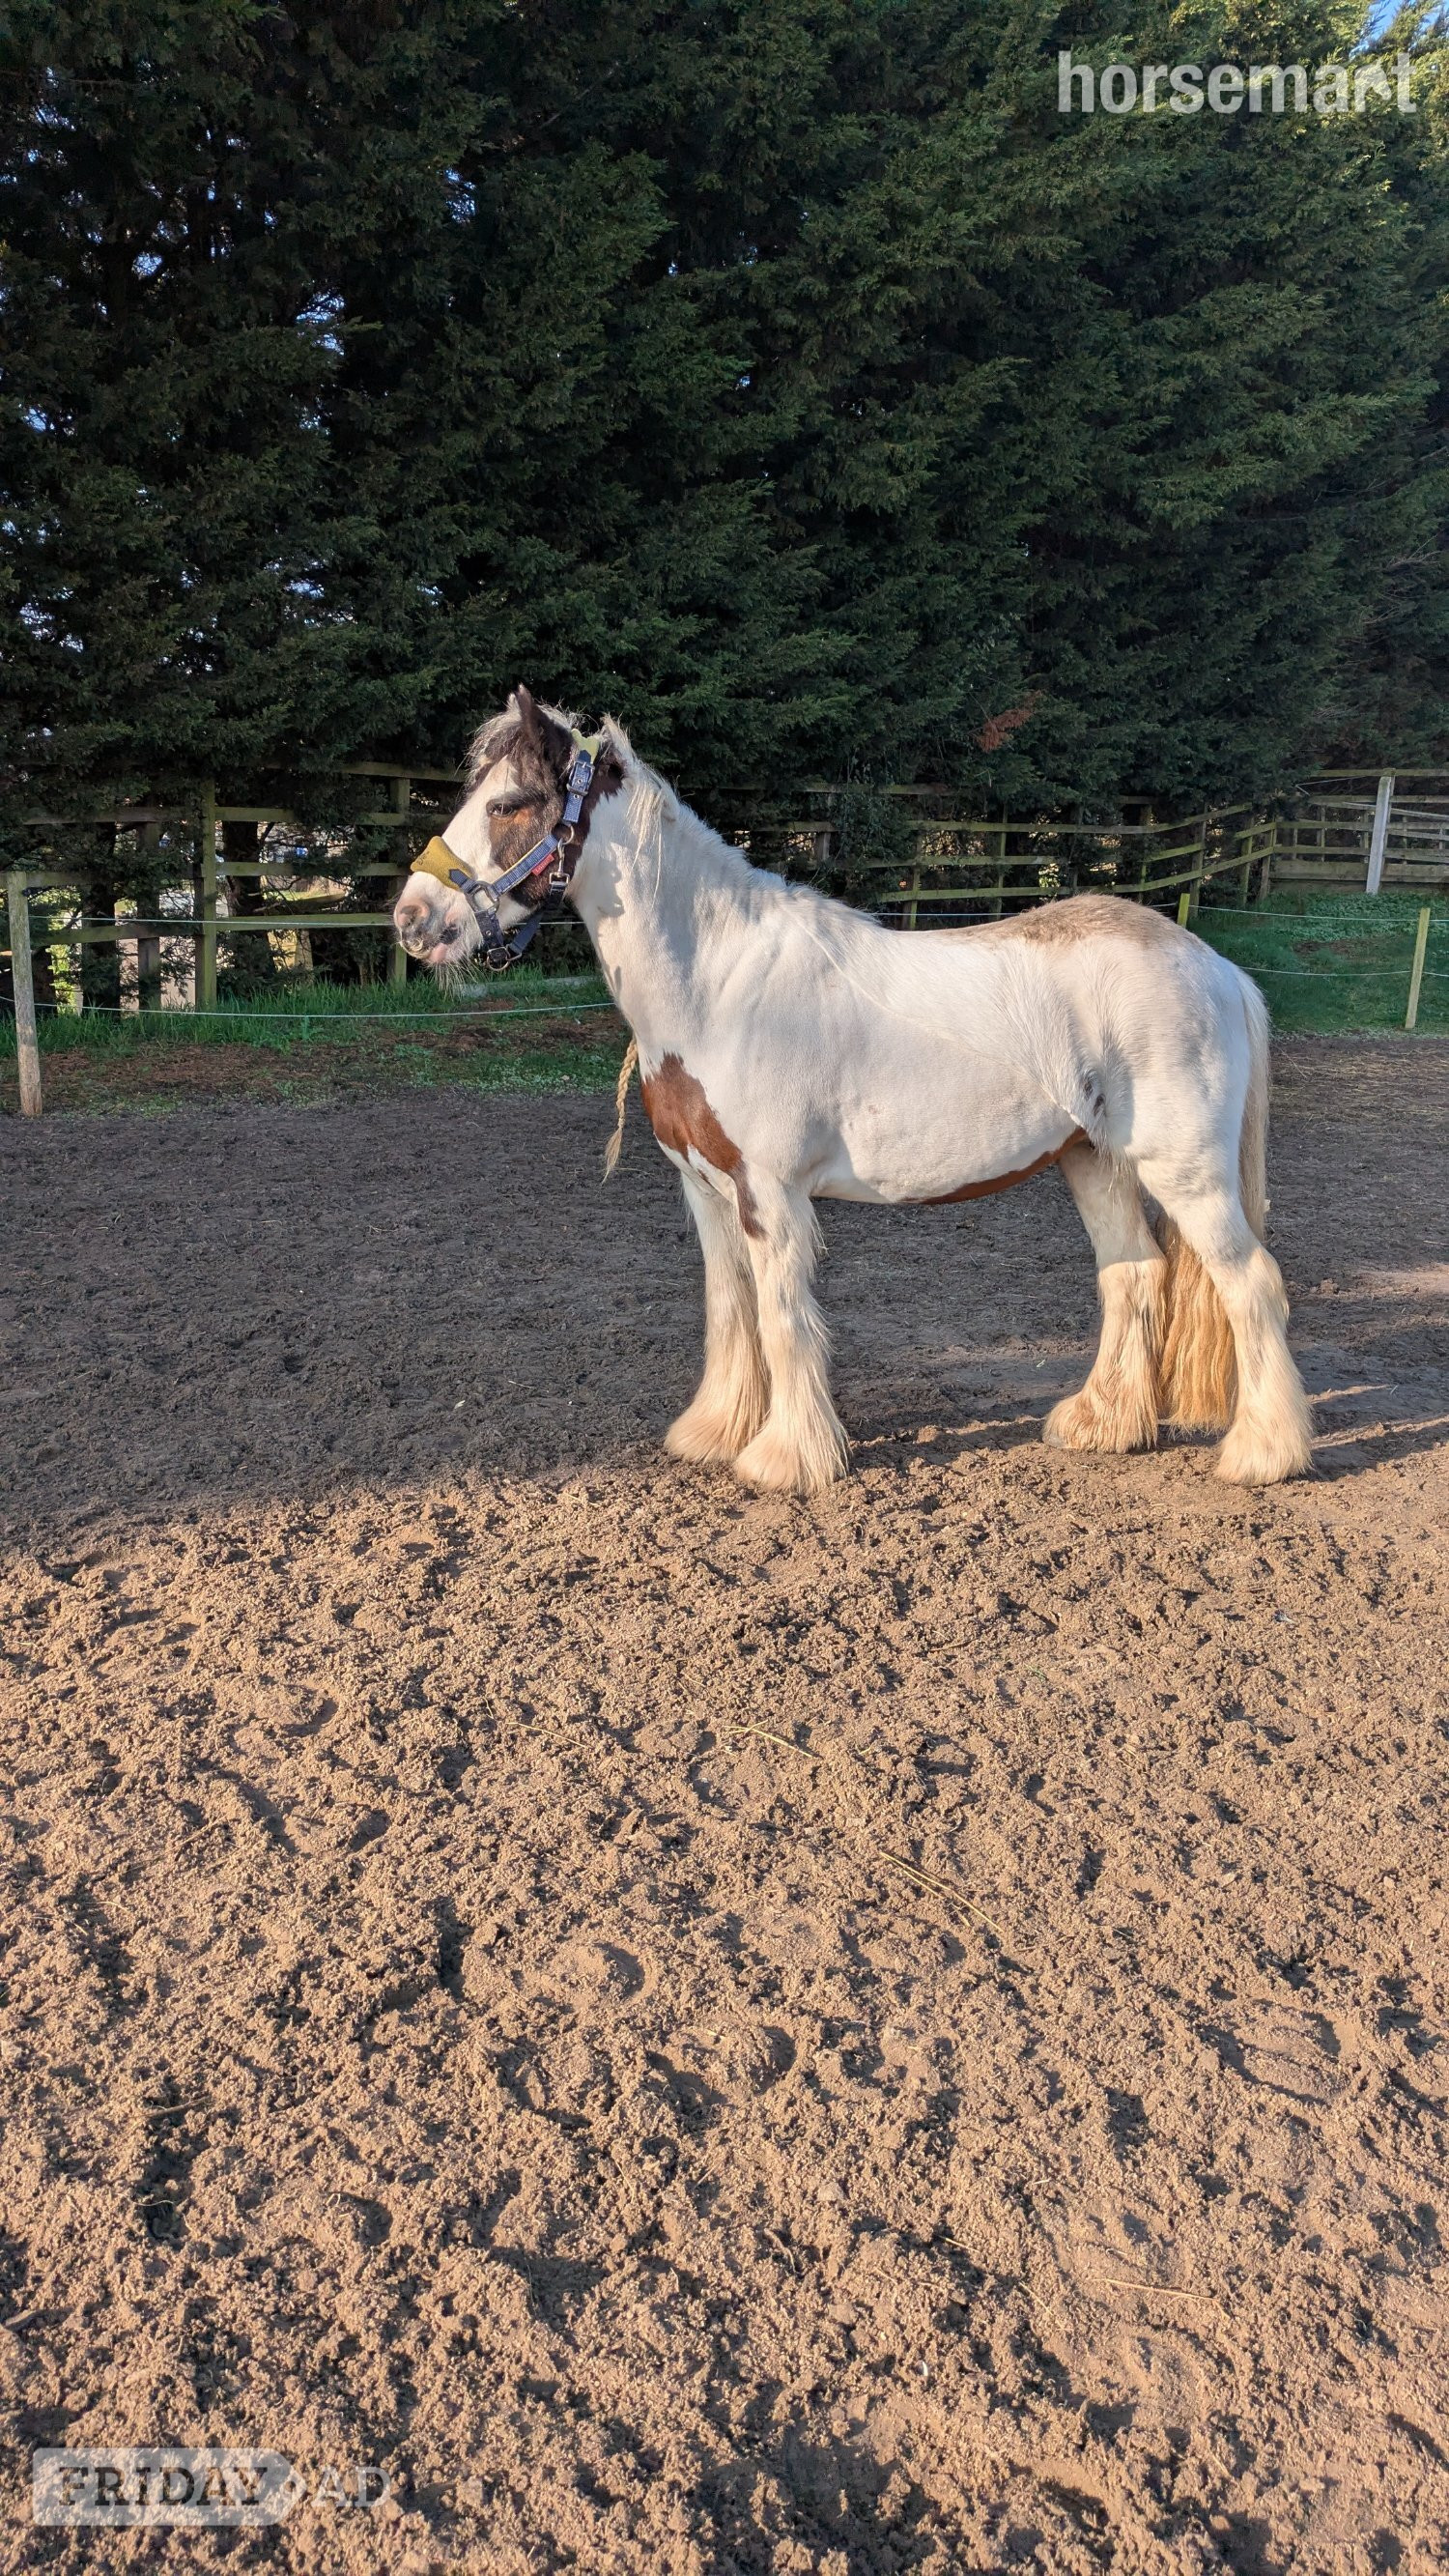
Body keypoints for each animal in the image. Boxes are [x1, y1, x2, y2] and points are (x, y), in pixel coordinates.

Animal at [394, 689, 1313, 1496]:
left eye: (511, 801)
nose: (412, 920)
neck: (718, 982)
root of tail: (1218, 968)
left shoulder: (770, 1194)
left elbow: (782, 1319)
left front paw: (786, 1460)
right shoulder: (706, 1191)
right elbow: (730, 1309)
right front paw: (713, 1432)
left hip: (1186, 1173)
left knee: (1251, 1284)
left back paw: (1263, 1454)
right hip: (1092, 1161)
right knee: (1134, 1274)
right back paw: (1102, 1425)